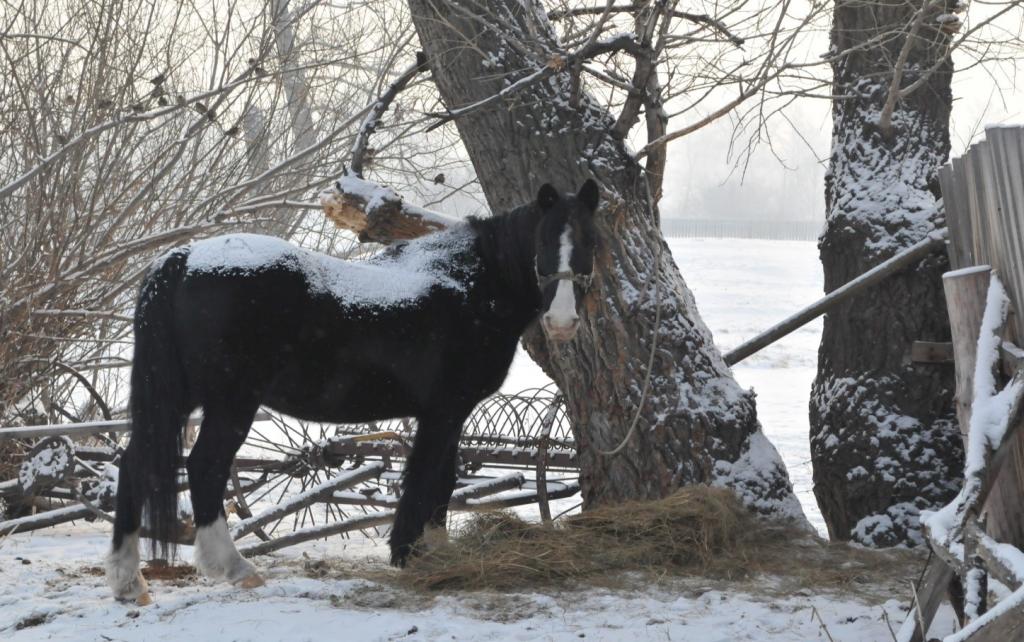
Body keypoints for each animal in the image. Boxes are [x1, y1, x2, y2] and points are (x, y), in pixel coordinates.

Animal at [105, 178, 598, 602]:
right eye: (542, 242)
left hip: (179, 397)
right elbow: (428, 479)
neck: (468, 283)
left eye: (589, 242)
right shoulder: (443, 411)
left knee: (134, 464)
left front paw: (437, 551)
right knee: (205, 466)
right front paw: (408, 554)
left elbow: (444, 480)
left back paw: (128, 581)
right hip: (231, 402)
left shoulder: (449, 414)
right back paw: (235, 568)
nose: (562, 322)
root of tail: (185, 258)